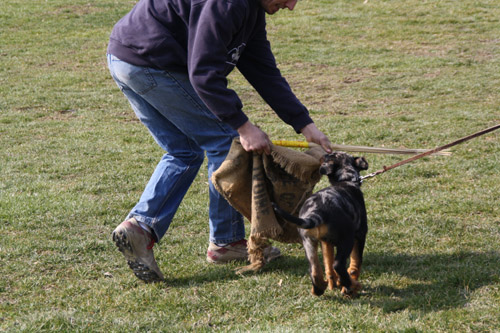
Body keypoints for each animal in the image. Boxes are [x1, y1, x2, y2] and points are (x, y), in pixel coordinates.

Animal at [272, 152, 370, 296]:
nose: (324, 154)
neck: (346, 179)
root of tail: (317, 211)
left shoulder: (325, 242)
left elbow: (328, 263)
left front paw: (333, 283)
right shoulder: (360, 234)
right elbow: (355, 262)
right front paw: (346, 286)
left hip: (308, 242)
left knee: (315, 270)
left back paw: (319, 288)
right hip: (347, 239)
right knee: (338, 265)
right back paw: (353, 286)